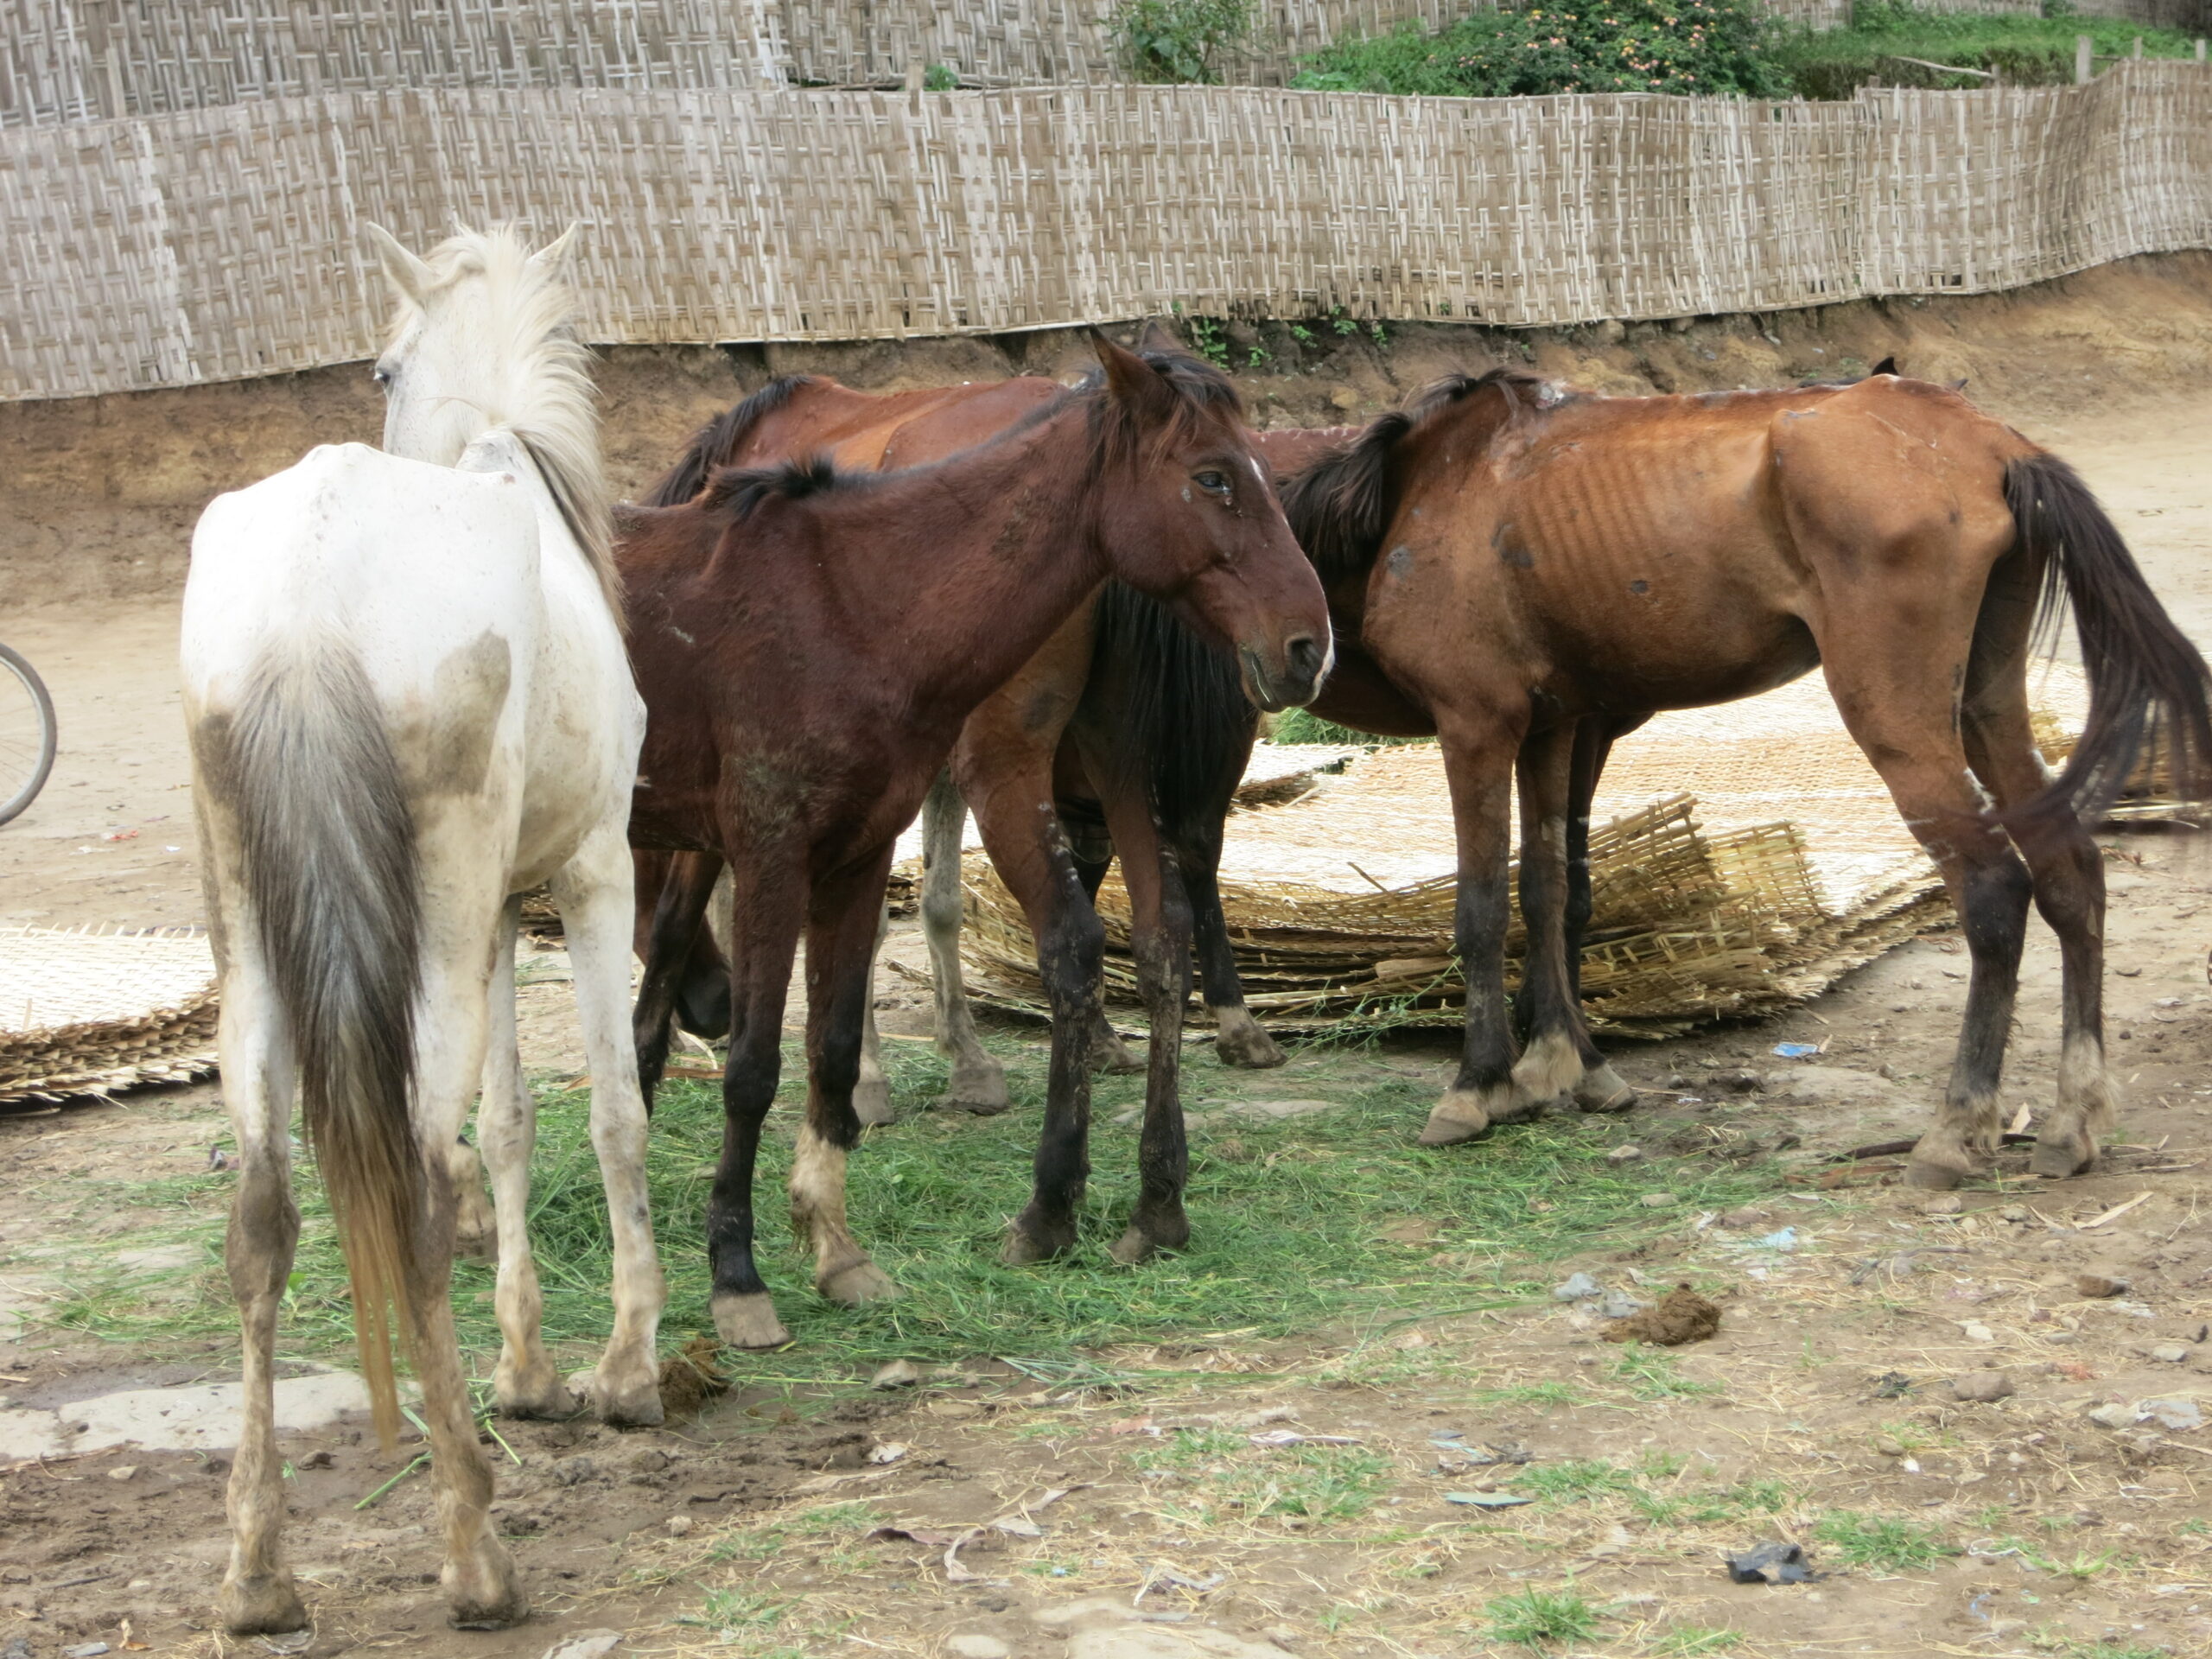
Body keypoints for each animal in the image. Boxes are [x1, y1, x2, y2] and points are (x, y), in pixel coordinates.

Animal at [180, 224, 662, 1633]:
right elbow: (608, 1113)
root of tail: (313, 583)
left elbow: (510, 1123)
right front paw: (626, 1369)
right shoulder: (592, 880)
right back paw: (474, 1554)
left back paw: (258, 1576)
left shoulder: (506, 911)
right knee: (425, 1187)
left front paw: (531, 1374)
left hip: (260, 941)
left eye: (382, 366)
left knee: (266, 1213)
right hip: (437, 929)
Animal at [618, 335, 1331, 1349]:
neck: (857, 588)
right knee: (1156, 939)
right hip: (1108, 768)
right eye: (1213, 477)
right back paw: (1147, 1201)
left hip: (1035, 768)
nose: (1310, 645)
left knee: (1091, 941)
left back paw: (1065, 1204)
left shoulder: (811, 835)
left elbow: (817, 1007)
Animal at [1274, 368, 2212, 1189]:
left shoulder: (1476, 725)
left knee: (1992, 889)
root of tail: (1991, 444)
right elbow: (1548, 890)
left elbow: (1479, 907)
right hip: (1986, 705)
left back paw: (1954, 1130)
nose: (1289, 661)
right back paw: (2073, 1119)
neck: (1429, 485)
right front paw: (1560, 1066)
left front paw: (1479, 1086)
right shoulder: (1550, 728)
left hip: (1899, 723)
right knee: (2068, 871)